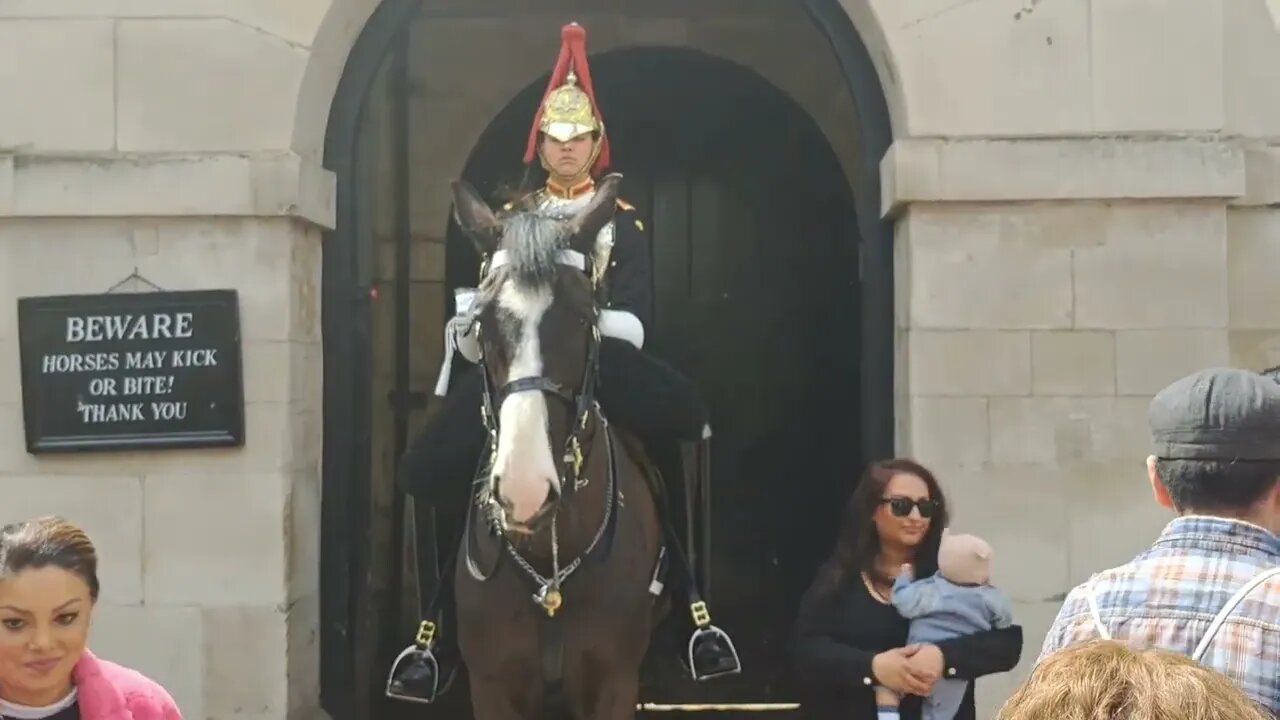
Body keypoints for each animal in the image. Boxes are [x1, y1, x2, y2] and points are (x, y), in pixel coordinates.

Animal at [448, 175, 660, 717]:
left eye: (585, 317)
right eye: (481, 320)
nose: (524, 492)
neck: (549, 573)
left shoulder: (615, 681)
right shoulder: (492, 685)